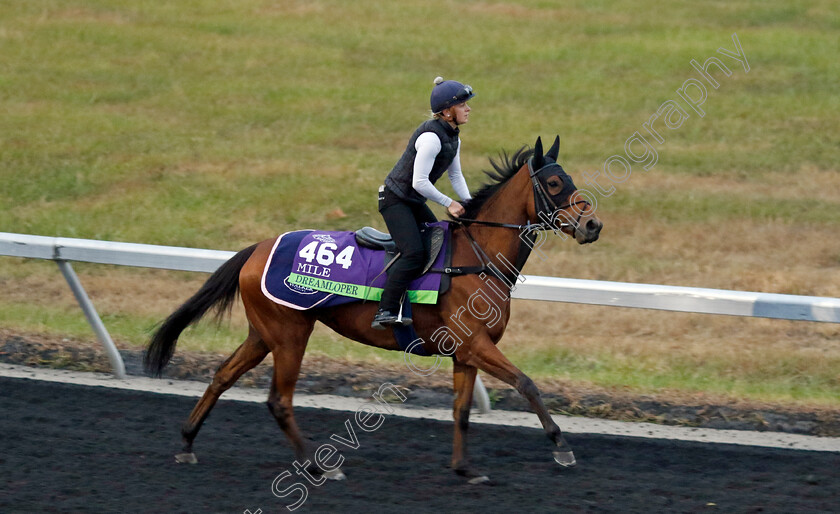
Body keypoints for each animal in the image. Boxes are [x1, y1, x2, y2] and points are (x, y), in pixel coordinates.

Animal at [146, 135, 604, 480]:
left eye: (569, 178)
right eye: (556, 183)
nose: (592, 225)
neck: (476, 256)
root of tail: (257, 248)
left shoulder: (466, 352)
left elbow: (461, 412)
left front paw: (464, 468)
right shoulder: (475, 344)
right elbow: (527, 383)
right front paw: (562, 446)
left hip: (263, 333)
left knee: (223, 375)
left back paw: (187, 441)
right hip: (290, 333)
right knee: (279, 400)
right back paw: (318, 466)